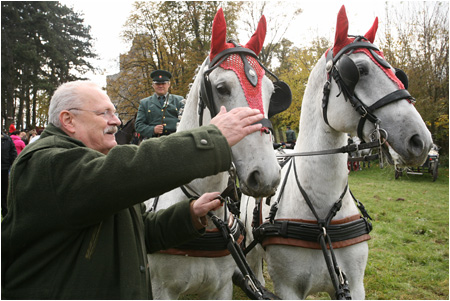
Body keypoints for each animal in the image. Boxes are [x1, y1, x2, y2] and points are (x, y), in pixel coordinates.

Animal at [241, 5, 434, 298]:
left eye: (399, 74)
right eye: (358, 70)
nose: (419, 140)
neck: (322, 219)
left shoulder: (354, 285)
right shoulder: (288, 289)